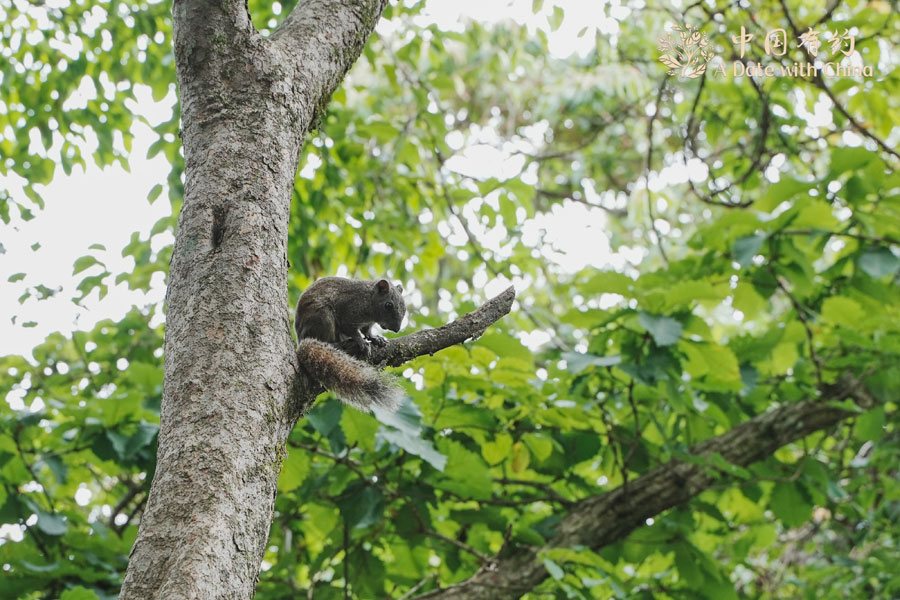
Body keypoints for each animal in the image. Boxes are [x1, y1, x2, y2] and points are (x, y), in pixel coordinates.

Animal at [294, 276, 406, 412]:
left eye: (404, 308)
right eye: (388, 305)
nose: (396, 329)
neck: (369, 300)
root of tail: (301, 338)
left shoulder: (368, 323)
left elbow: (367, 332)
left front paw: (376, 338)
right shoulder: (347, 313)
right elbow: (352, 330)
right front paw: (362, 342)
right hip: (323, 316)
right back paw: (336, 343)